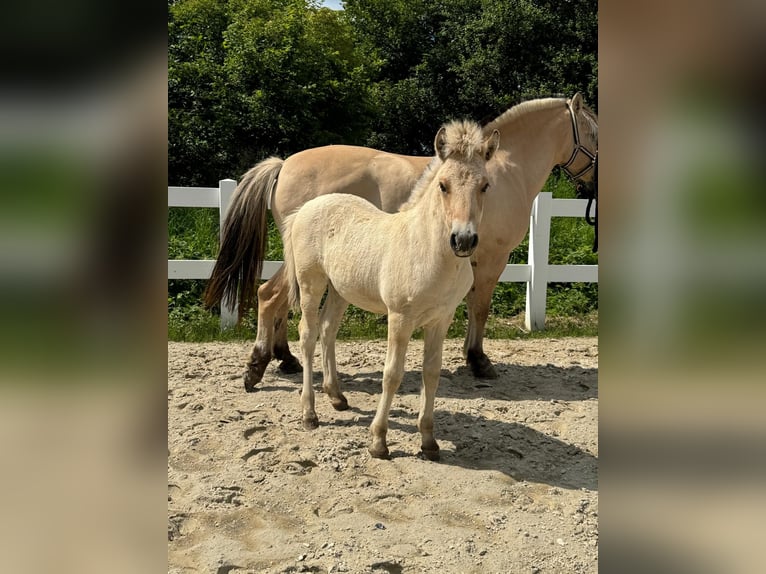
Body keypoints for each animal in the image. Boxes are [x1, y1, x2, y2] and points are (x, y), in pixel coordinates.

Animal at [206, 93, 600, 388]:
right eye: (595, 134)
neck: (504, 171)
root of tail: (284, 164)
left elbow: (470, 305)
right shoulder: (492, 258)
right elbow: (481, 307)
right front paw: (479, 361)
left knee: (278, 299)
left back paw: (285, 359)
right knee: (270, 295)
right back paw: (259, 364)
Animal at [284, 119, 500, 462]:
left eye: (485, 186)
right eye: (443, 185)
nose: (463, 240)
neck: (428, 252)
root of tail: (306, 207)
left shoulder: (441, 319)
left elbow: (431, 372)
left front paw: (429, 441)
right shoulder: (400, 318)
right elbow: (392, 374)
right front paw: (378, 441)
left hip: (340, 289)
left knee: (328, 330)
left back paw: (337, 397)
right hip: (311, 284)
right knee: (307, 335)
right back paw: (310, 413)